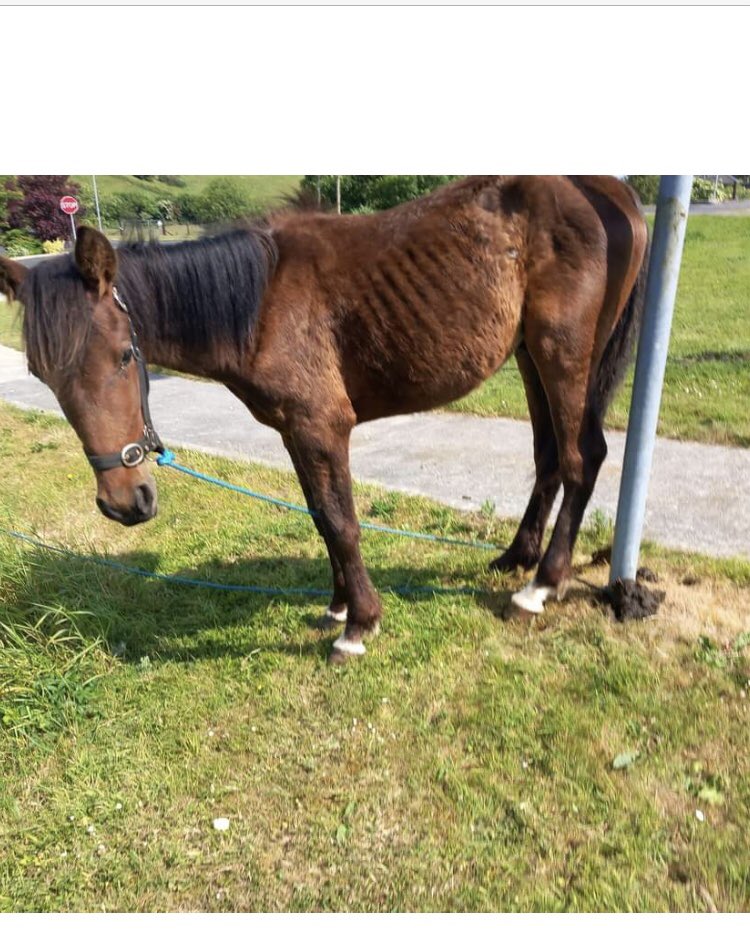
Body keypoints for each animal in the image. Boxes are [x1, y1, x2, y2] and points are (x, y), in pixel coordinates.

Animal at [0, 176, 649, 664]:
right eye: (41, 374)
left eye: (123, 357)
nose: (123, 503)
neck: (259, 303)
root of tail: (605, 189)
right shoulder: (295, 430)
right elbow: (320, 516)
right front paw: (338, 604)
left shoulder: (321, 425)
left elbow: (342, 521)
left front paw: (358, 626)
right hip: (529, 355)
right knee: (548, 455)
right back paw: (519, 557)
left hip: (562, 351)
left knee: (581, 456)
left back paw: (541, 585)